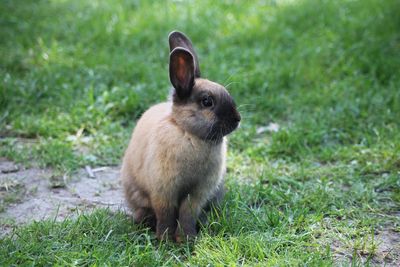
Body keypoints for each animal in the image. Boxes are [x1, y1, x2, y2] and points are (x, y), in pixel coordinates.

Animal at [120, 31, 241, 243]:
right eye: (207, 102)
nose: (237, 119)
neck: (189, 133)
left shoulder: (198, 193)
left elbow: (187, 213)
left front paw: (187, 238)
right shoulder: (163, 191)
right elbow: (166, 214)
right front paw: (165, 239)